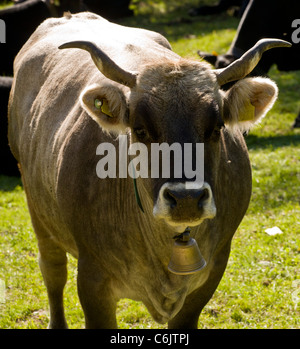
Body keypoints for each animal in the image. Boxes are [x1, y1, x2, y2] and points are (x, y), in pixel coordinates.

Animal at [8, 12, 290, 328]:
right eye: (140, 130)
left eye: (216, 128)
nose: (187, 199)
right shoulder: (93, 279)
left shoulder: (212, 271)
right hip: (37, 208)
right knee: (53, 270)